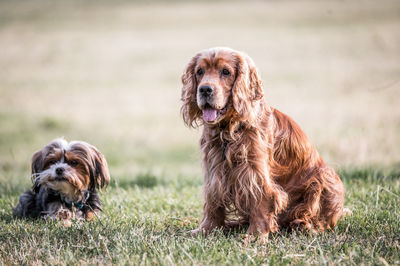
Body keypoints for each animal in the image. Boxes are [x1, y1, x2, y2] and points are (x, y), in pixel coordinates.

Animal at [182, 46, 346, 238]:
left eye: (225, 72)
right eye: (200, 71)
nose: (205, 90)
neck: (229, 131)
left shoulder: (254, 171)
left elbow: (261, 200)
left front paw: (255, 235)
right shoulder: (214, 170)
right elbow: (213, 202)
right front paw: (207, 229)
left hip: (325, 177)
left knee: (319, 221)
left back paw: (303, 225)